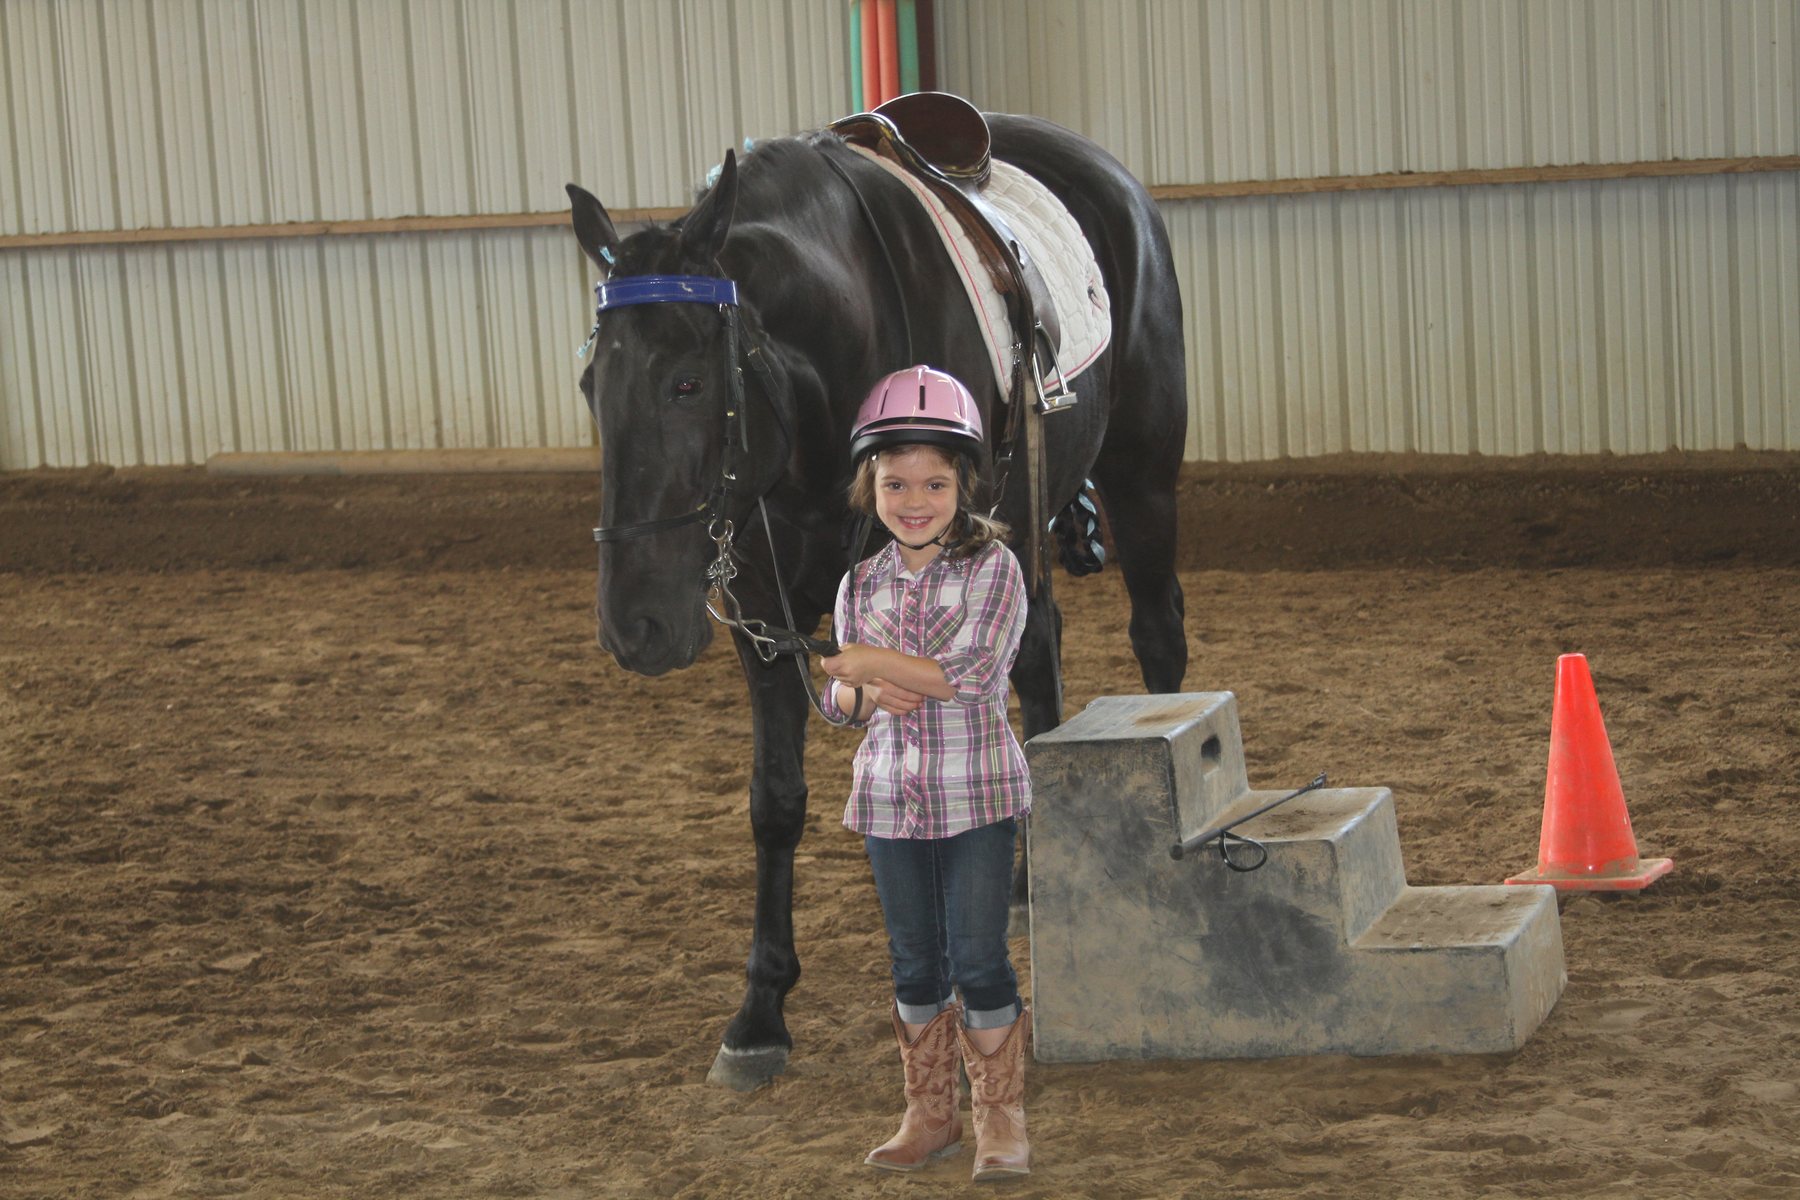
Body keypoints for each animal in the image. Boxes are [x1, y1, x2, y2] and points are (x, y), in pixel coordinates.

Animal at [565, 111, 1188, 1090]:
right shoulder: (765, 611)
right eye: (594, 386)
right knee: (1036, 657)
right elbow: (776, 799)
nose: (635, 625)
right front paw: (760, 1010)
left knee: (1157, 634)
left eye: (687, 383)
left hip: (1143, 471)